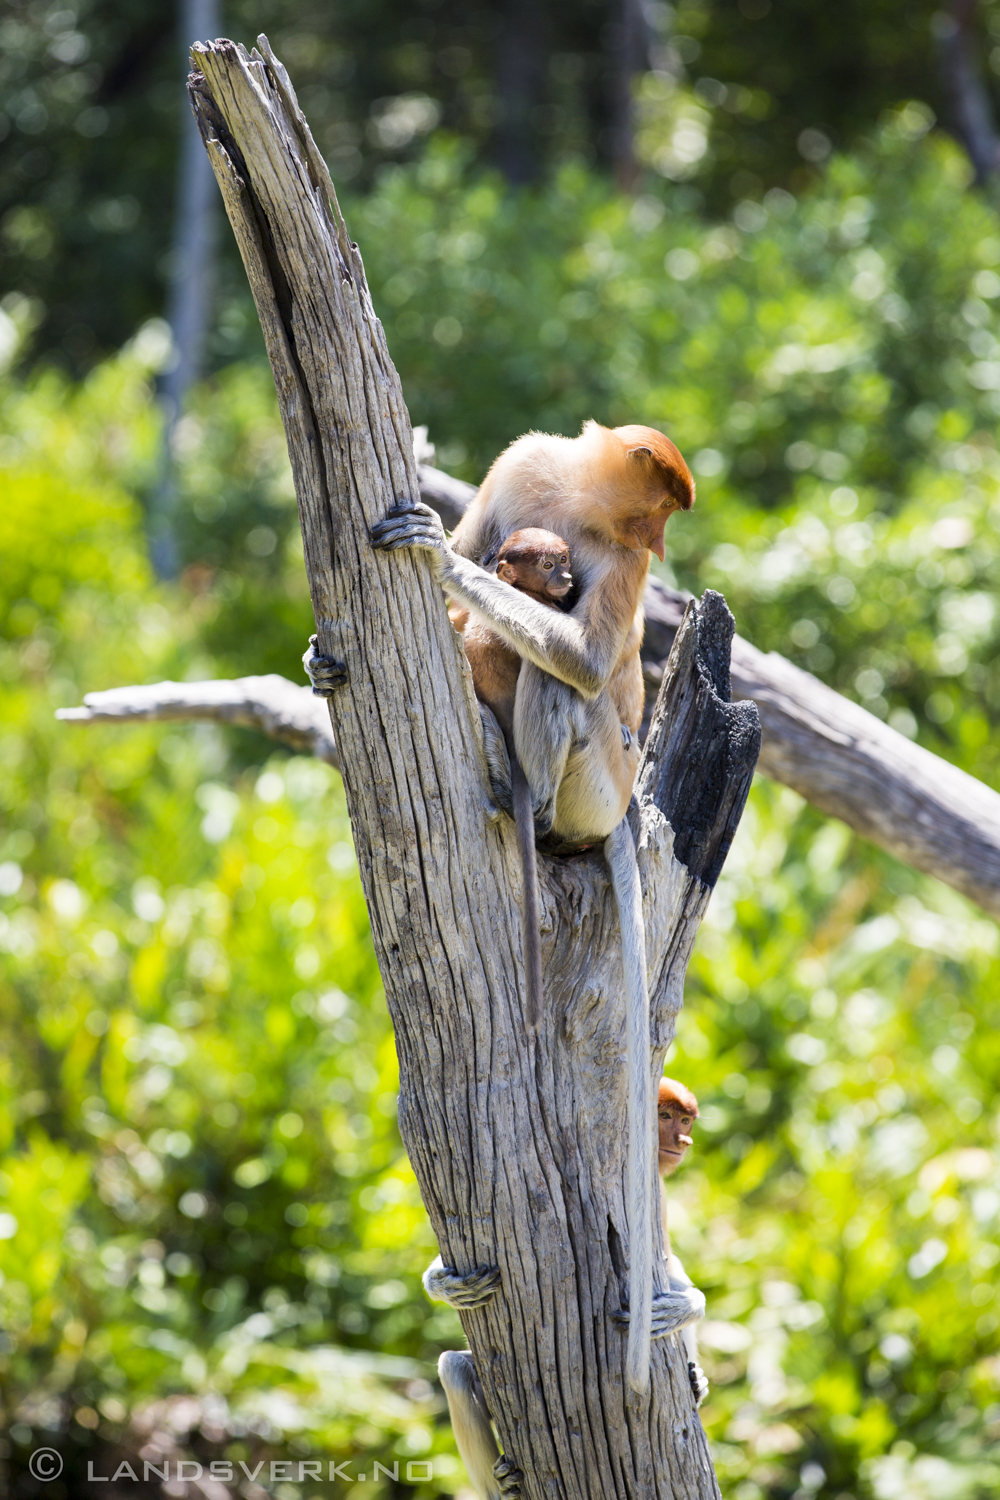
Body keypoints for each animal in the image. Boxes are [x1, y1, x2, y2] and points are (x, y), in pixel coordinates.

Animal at [370, 414, 695, 1392]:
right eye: (661, 507)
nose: (660, 547)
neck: (583, 504)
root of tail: (619, 809)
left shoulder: (613, 566)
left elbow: (586, 657)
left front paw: (434, 552)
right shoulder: (524, 464)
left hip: (599, 773)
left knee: (560, 678)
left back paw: (539, 813)